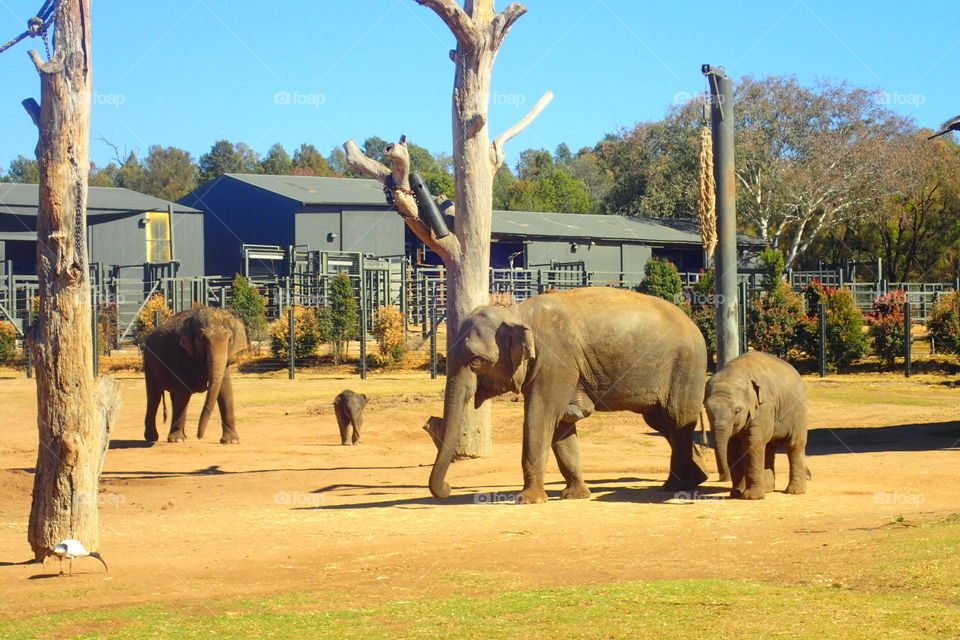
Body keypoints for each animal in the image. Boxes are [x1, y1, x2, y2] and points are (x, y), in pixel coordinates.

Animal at [143, 307, 247, 444]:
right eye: (203, 339)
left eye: (230, 340)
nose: (199, 436)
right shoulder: (180, 352)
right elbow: (183, 392)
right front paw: (177, 440)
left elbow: (225, 391)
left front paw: (231, 441)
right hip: (149, 362)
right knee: (154, 397)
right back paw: (152, 438)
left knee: (171, 396)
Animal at [429, 287, 710, 504]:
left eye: (475, 360)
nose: (448, 488)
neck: (517, 312)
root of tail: (694, 324)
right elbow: (562, 425)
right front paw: (575, 495)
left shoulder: (555, 361)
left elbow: (541, 416)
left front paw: (527, 500)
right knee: (661, 422)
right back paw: (694, 479)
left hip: (686, 366)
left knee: (677, 417)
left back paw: (678, 487)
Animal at [704, 351, 809, 500]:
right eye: (707, 410)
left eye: (737, 411)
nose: (723, 478)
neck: (738, 370)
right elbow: (732, 447)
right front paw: (736, 493)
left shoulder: (764, 406)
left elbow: (753, 443)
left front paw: (751, 497)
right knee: (769, 447)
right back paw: (767, 489)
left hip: (798, 412)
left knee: (794, 445)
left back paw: (794, 491)